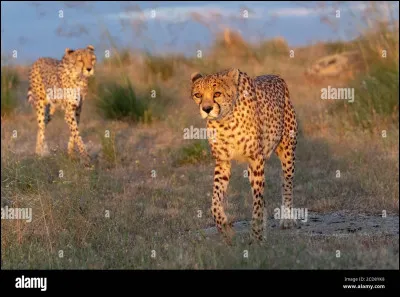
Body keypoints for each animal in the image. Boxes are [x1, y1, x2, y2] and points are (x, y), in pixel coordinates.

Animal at [190, 67, 296, 243]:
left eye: (217, 93)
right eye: (198, 95)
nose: (206, 109)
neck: (225, 120)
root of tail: (276, 76)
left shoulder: (255, 159)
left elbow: (257, 201)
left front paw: (256, 234)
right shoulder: (222, 162)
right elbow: (215, 202)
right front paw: (225, 229)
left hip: (287, 150)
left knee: (286, 184)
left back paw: (287, 219)